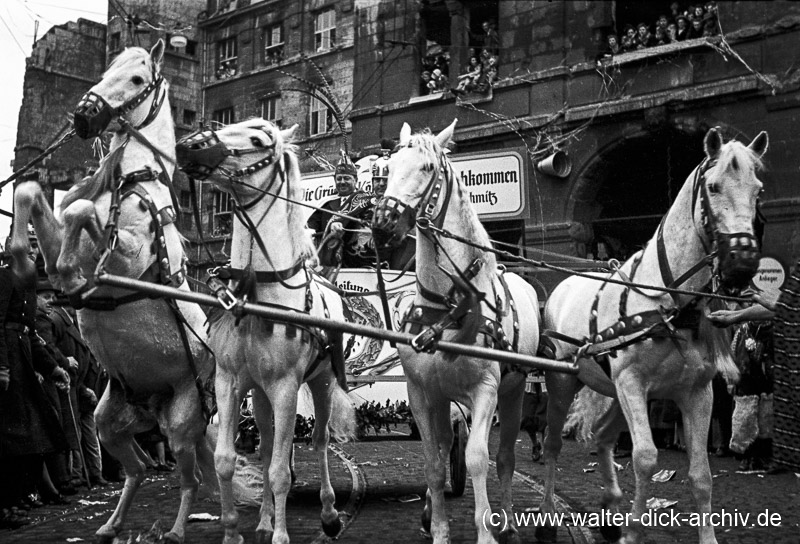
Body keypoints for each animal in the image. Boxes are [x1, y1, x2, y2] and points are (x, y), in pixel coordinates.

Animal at [10, 41, 216, 544]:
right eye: (107, 72)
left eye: (138, 80)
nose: (84, 116)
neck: (132, 184)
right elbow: (32, 194)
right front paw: (24, 264)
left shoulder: (131, 258)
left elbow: (80, 209)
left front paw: (68, 277)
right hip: (110, 422)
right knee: (138, 468)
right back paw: (111, 524)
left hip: (182, 423)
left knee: (192, 477)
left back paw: (177, 530)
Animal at [177, 119, 354, 544]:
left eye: (257, 139)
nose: (189, 145)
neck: (256, 290)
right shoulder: (228, 381)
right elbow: (227, 459)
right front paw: (233, 531)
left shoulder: (287, 387)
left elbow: (279, 472)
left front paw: (282, 535)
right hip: (257, 392)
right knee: (270, 440)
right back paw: (263, 520)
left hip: (321, 382)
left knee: (320, 440)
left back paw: (329, 513)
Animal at [372, 120, 540, 544]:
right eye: (390, 166)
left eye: (428, 167)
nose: (381, 224)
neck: (450, 303)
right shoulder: (421, 393)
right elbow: (433, 463)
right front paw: (439, 529)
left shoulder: (486, 390)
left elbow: (478, 458)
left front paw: (485, 531)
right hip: (444, 397)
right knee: (448, 445)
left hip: (515, 392)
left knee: (505, 457)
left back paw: (508, 521)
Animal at [536, 129, 768, 544]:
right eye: (713, 186)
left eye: (757, 190)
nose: (742, 264)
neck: (667, 300)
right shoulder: (631, 383)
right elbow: (645, 458)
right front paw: (632, 531)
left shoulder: (697, 393)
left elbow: (701, 474)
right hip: (564, 382)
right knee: (553, 442)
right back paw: (548, 515)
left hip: (613, 392)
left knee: (604, 438)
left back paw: (611, 504)